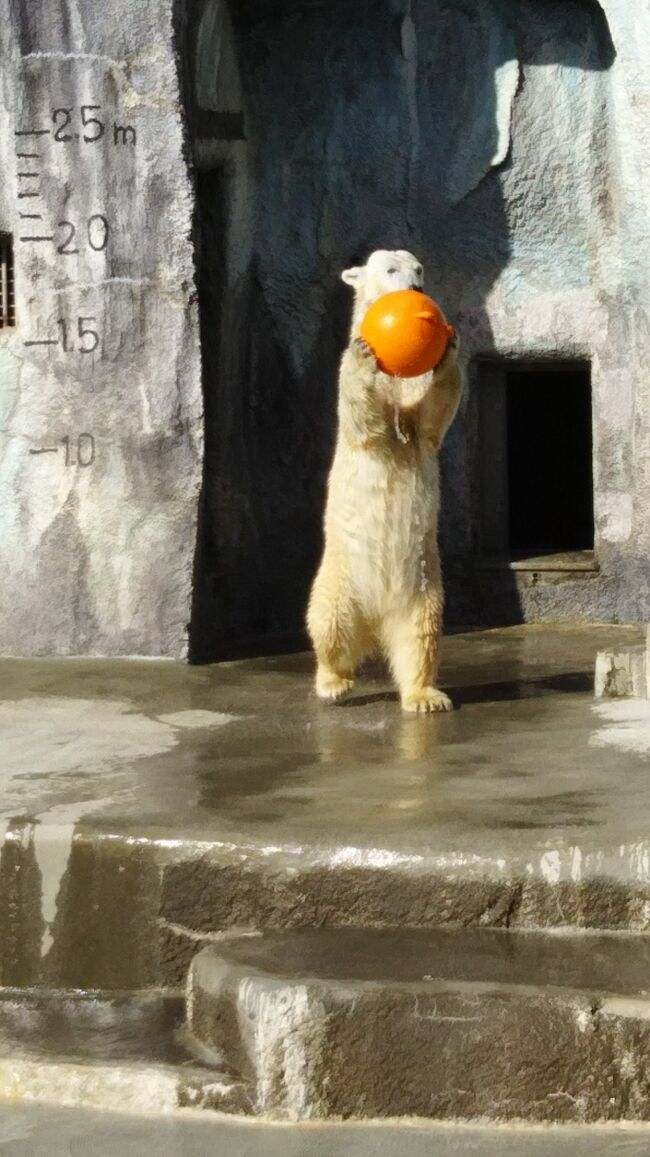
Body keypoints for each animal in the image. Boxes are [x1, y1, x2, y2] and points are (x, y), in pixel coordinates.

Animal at [305, 248, 460, 708]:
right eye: (390, 269)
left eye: (419, 268)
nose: (416, 288)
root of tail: (374, 622)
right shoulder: (356, 407)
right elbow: (364, 416)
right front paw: (364, 354)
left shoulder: (416, 413)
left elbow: (430, 417)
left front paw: (448, 347)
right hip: (340, 578)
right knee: (327, 623)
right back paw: (333, 682)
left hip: (423, 587)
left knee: (421, 636)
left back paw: (425, 695)